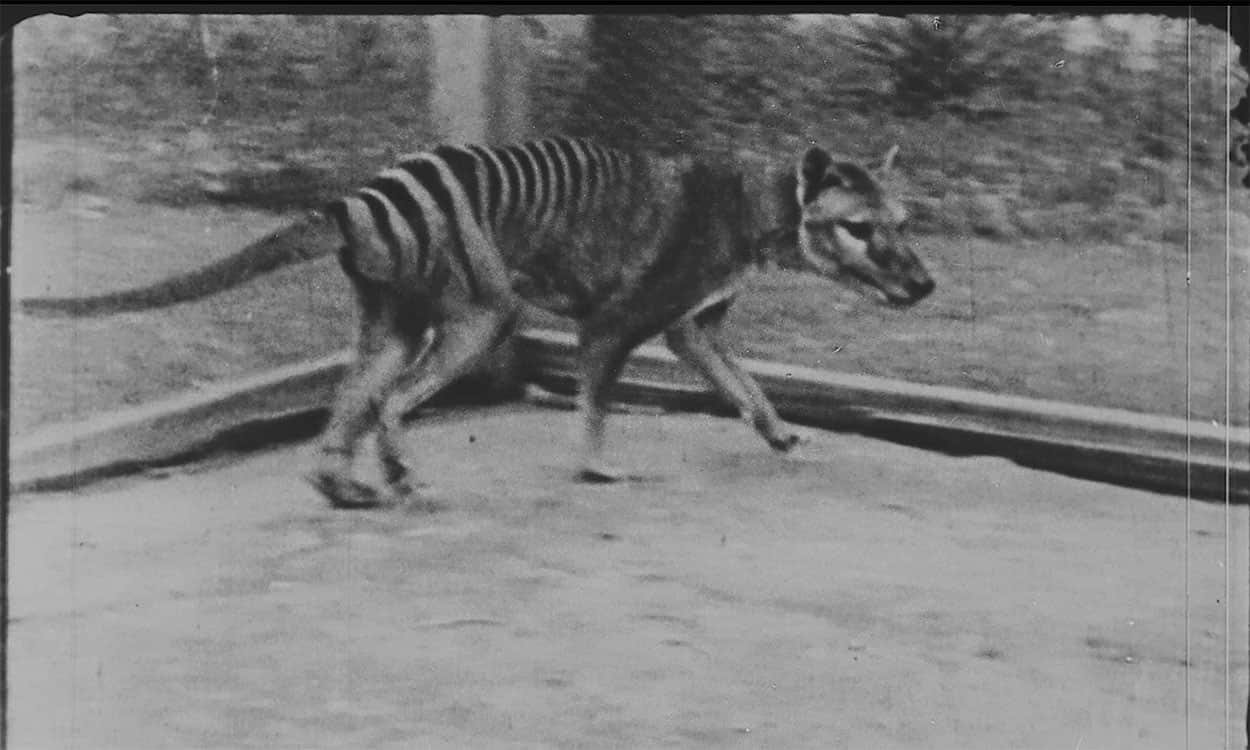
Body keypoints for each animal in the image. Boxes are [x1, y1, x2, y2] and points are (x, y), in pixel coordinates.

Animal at [20, 137, 936, 508]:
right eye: (860, 228)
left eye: (902, 219)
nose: (925, 284)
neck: (758, 206)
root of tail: (357, 197)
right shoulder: (616, 324)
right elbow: (597, 401)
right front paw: (597, 469)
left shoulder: (694, 328)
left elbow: (745, 387)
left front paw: (781, 435)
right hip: (487, 314)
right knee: (388, 404)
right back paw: (394, 475)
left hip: (390, 322)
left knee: (347, 410)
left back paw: (345, 486)